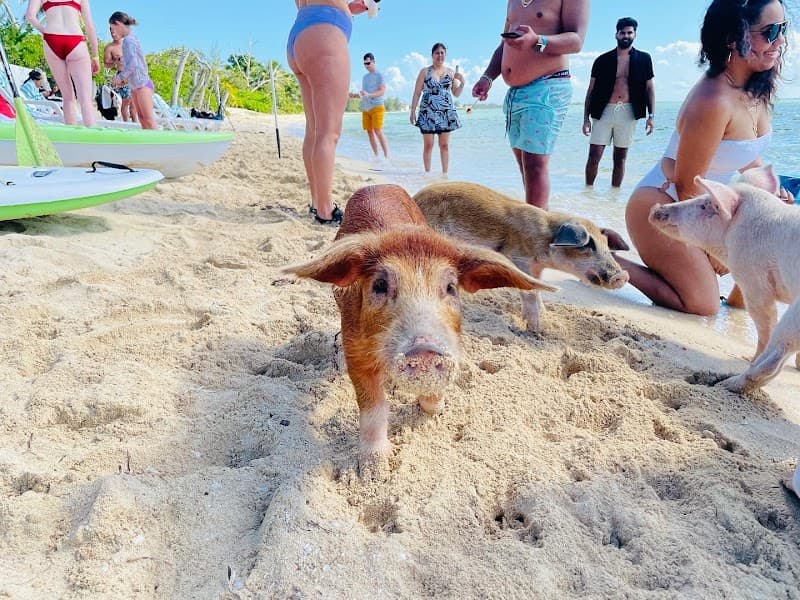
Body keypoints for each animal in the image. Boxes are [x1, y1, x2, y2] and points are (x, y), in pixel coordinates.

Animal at [283, 184, 556, 474]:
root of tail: (377, 185)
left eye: (450, 287)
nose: (425, 349)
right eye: (380, 285)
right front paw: (373, 471)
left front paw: (437, 407)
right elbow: (372, 406)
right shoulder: (354, 345)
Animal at [412, 182, 630, 332]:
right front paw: (537, 330)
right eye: (589, 244)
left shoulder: (537, 268)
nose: (622, 276)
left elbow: (538, 290)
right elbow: (530, 291)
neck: (545, 239)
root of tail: (416, 198)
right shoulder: (519, 259)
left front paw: (546, 320)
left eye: (606, 245)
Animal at [648, 165, 800, 393]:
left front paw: (749, 357)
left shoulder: (752, 277)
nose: (655, 209)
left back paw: (729, 383)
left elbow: (765, 321)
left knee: (774, 356)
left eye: (705, 205)